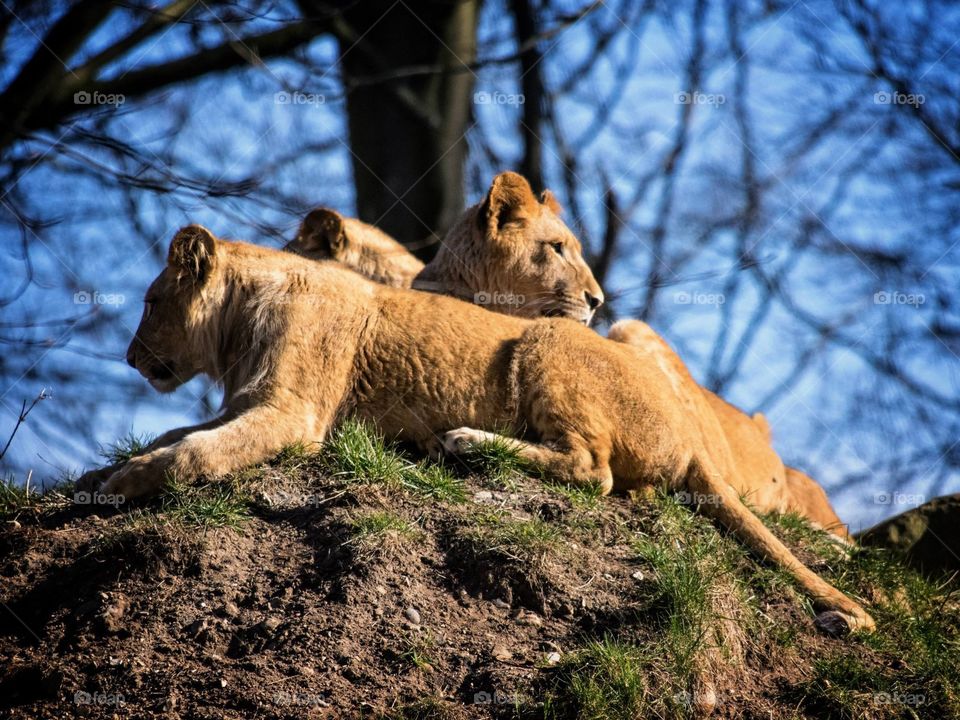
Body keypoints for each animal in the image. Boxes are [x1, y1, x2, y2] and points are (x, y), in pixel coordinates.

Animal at [76, 221, 872, 635]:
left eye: (150, 302)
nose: (129, 356)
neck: (239, 320)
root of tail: (688, 425)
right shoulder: (242, 401)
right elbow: (176, 434)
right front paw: (100, 473)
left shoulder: (289, 413)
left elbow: (192, 455)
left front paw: (130, 479)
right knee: (623, 484)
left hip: (546, 343)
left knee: (593, 470)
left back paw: (463, 442)